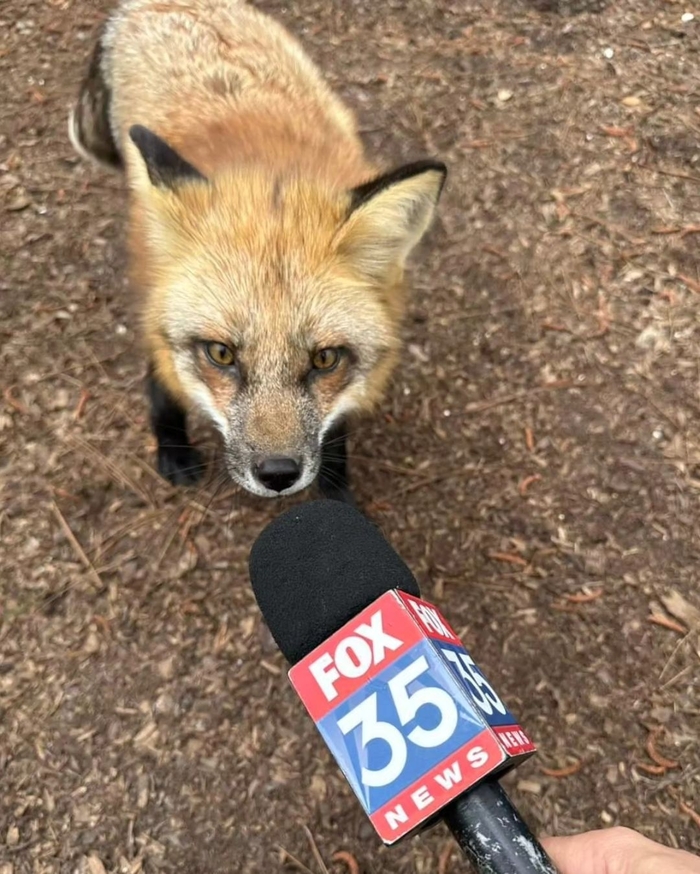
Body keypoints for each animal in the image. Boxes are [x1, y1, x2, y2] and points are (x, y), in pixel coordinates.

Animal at [69, 0, 446, 503]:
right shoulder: (154, 298)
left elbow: (334, 436)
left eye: (325, 359)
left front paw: (335, 494)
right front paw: (172, 450)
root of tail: (152, 6)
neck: (272, 177)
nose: (278, 474)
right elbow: (161, 386)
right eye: (221, 354)